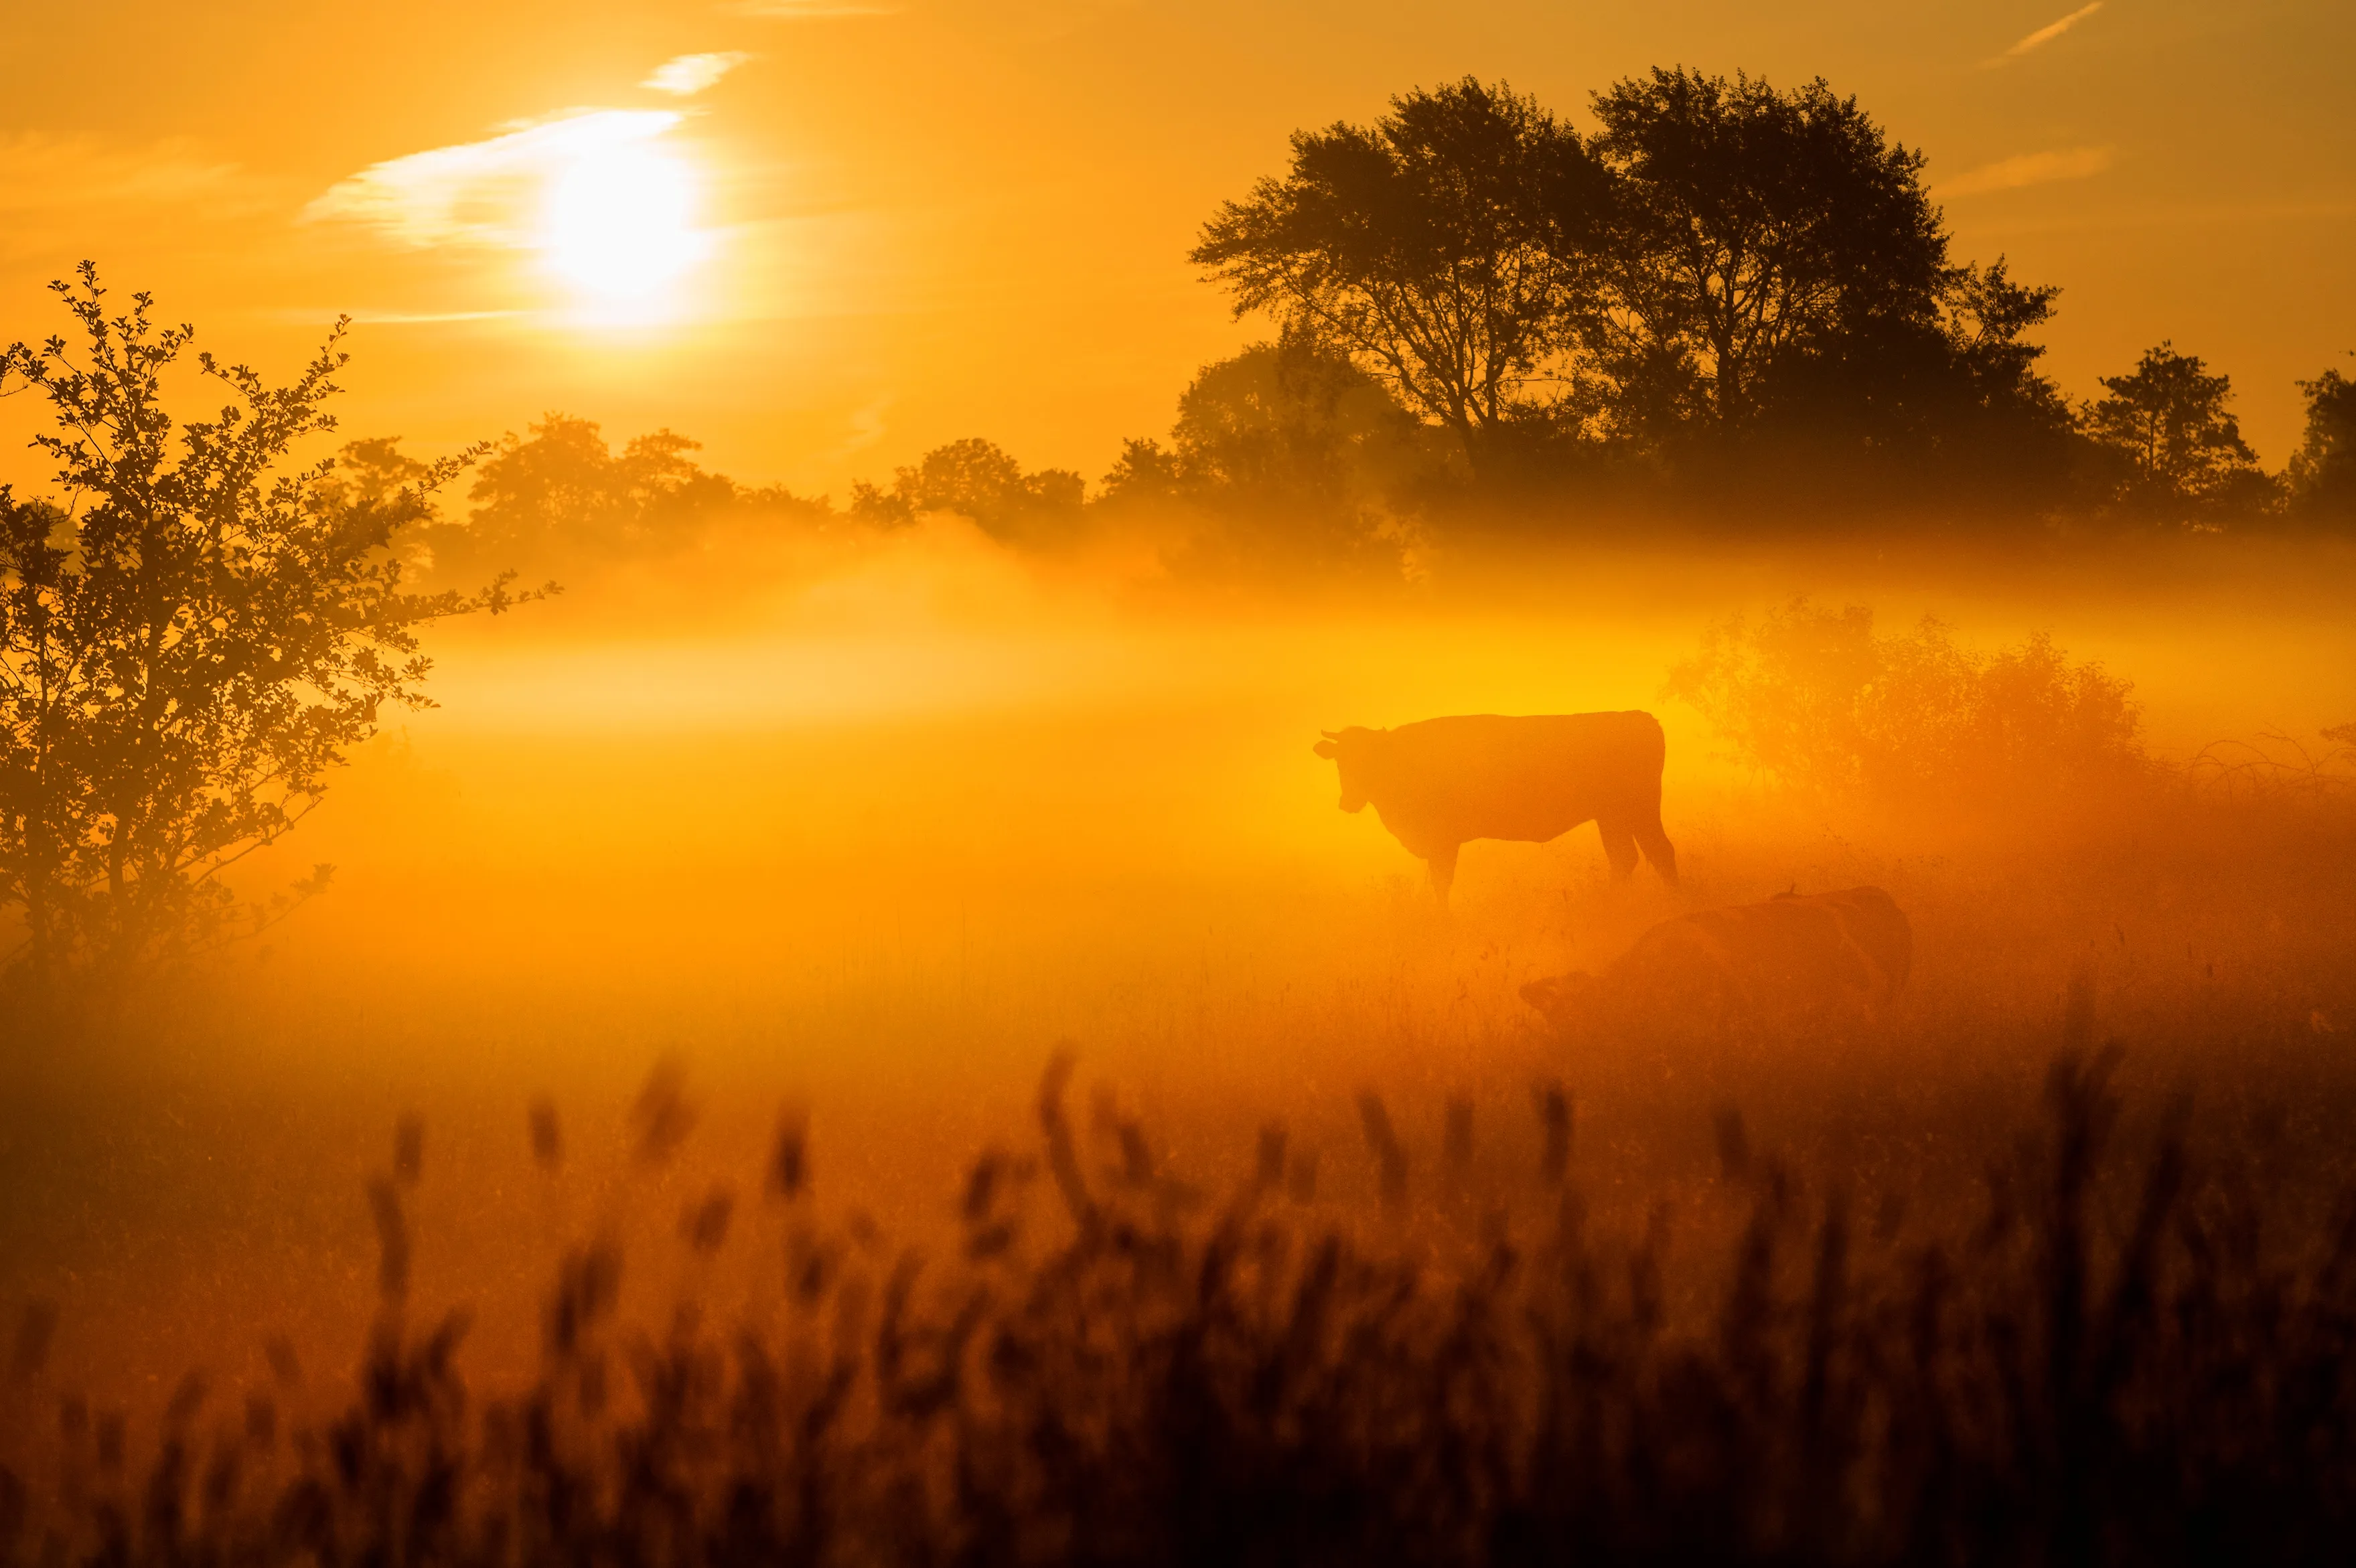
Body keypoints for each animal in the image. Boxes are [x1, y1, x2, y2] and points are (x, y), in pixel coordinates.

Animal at [1312, 712, 1677, 903]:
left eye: (1370, 760)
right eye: (1341, 762)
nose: (1348, 802)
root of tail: (1642, 719)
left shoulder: (1444, 844)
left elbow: (1442, 884)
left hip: (1639, 809)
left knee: (1659, 852)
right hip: (1612, 817)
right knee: (1626, 858)